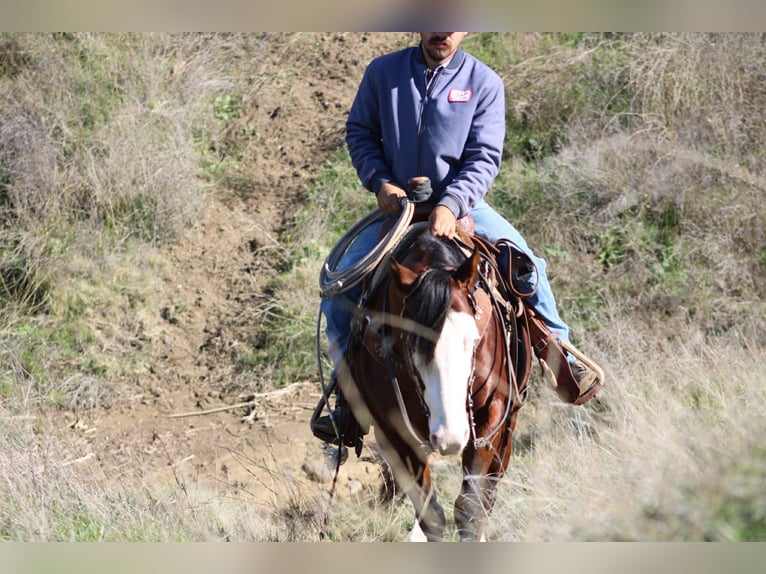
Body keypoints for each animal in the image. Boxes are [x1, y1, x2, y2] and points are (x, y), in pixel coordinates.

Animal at [335, 222, 532, 541]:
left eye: (473, 339)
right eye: (411, 342)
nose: (449, 436)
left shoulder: (491, 415)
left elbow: (470, 508)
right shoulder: (393, 431)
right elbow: (431, 515)